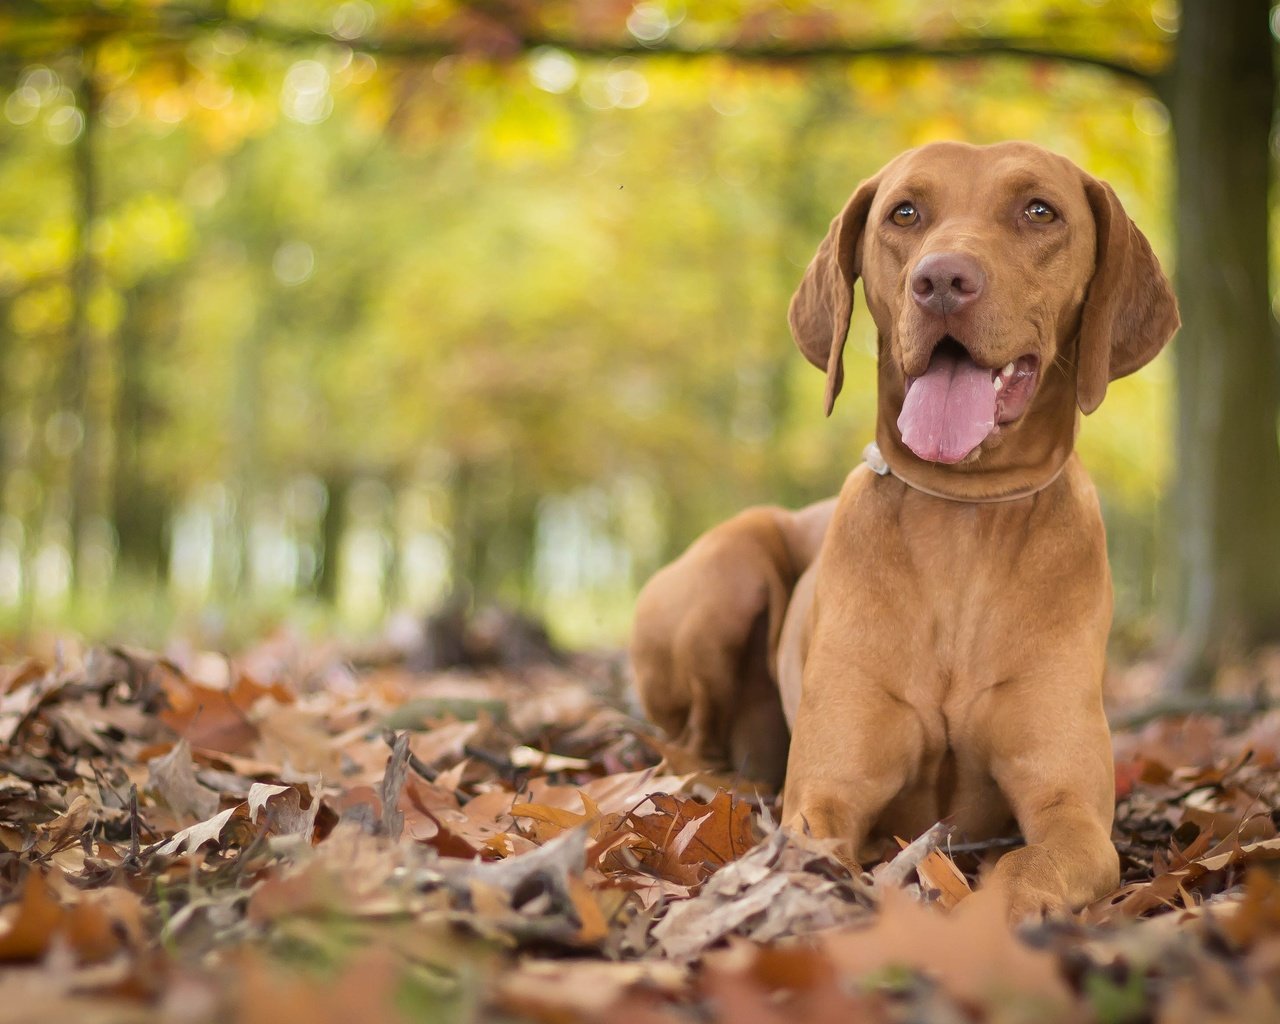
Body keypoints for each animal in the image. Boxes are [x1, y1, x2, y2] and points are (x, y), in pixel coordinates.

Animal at [629, 140, 1177, 916]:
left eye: (1040, 211)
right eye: (905, 213)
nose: (942, 279)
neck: (964, 515)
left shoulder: (1073, 810)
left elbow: (1034, 860)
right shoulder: (827, 791)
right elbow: (814, 840)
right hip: (728, 572)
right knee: (691, 739)